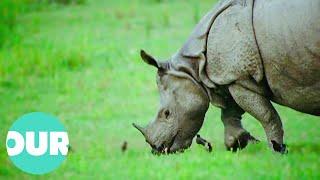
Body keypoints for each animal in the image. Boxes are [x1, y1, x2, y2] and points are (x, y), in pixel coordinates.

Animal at [132, 0, 320, 155]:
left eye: (167, 113)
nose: (157, 150)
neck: (192, 67)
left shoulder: (239, 78)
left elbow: (266, 115)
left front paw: (278, 150)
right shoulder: (229, 77)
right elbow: (230, 113)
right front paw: (238, 143)